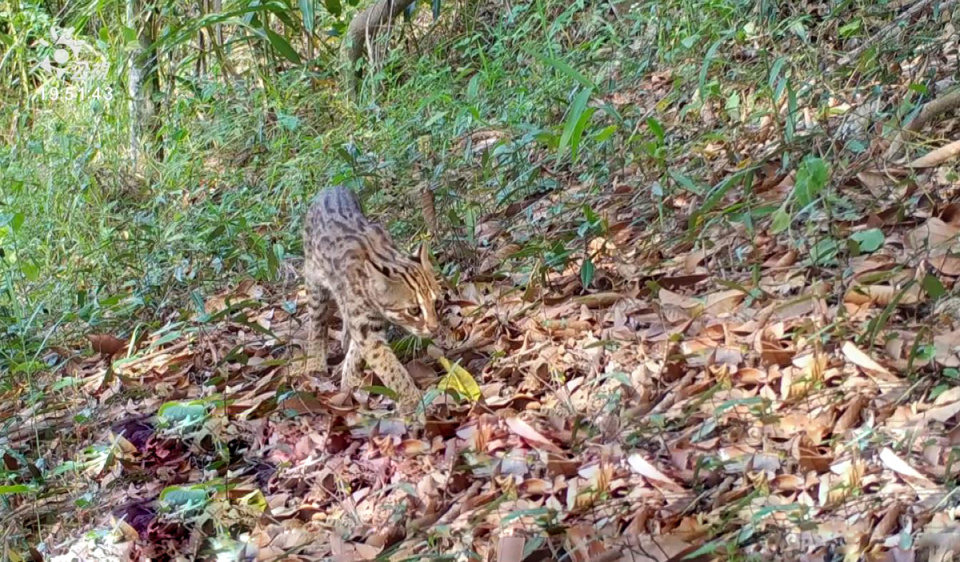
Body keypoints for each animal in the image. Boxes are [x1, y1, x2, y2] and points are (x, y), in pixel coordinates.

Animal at [300, 186, 442, 410]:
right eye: (414, 310)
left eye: (436, 302)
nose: (435, 328)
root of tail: (332, 187)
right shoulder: (365, 326)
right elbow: (387, 365)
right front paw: (412, 401)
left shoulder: (371, 321)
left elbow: (358, 352)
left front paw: (349, 380)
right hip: (314, 280)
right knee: (317, 323)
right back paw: (315, 363)